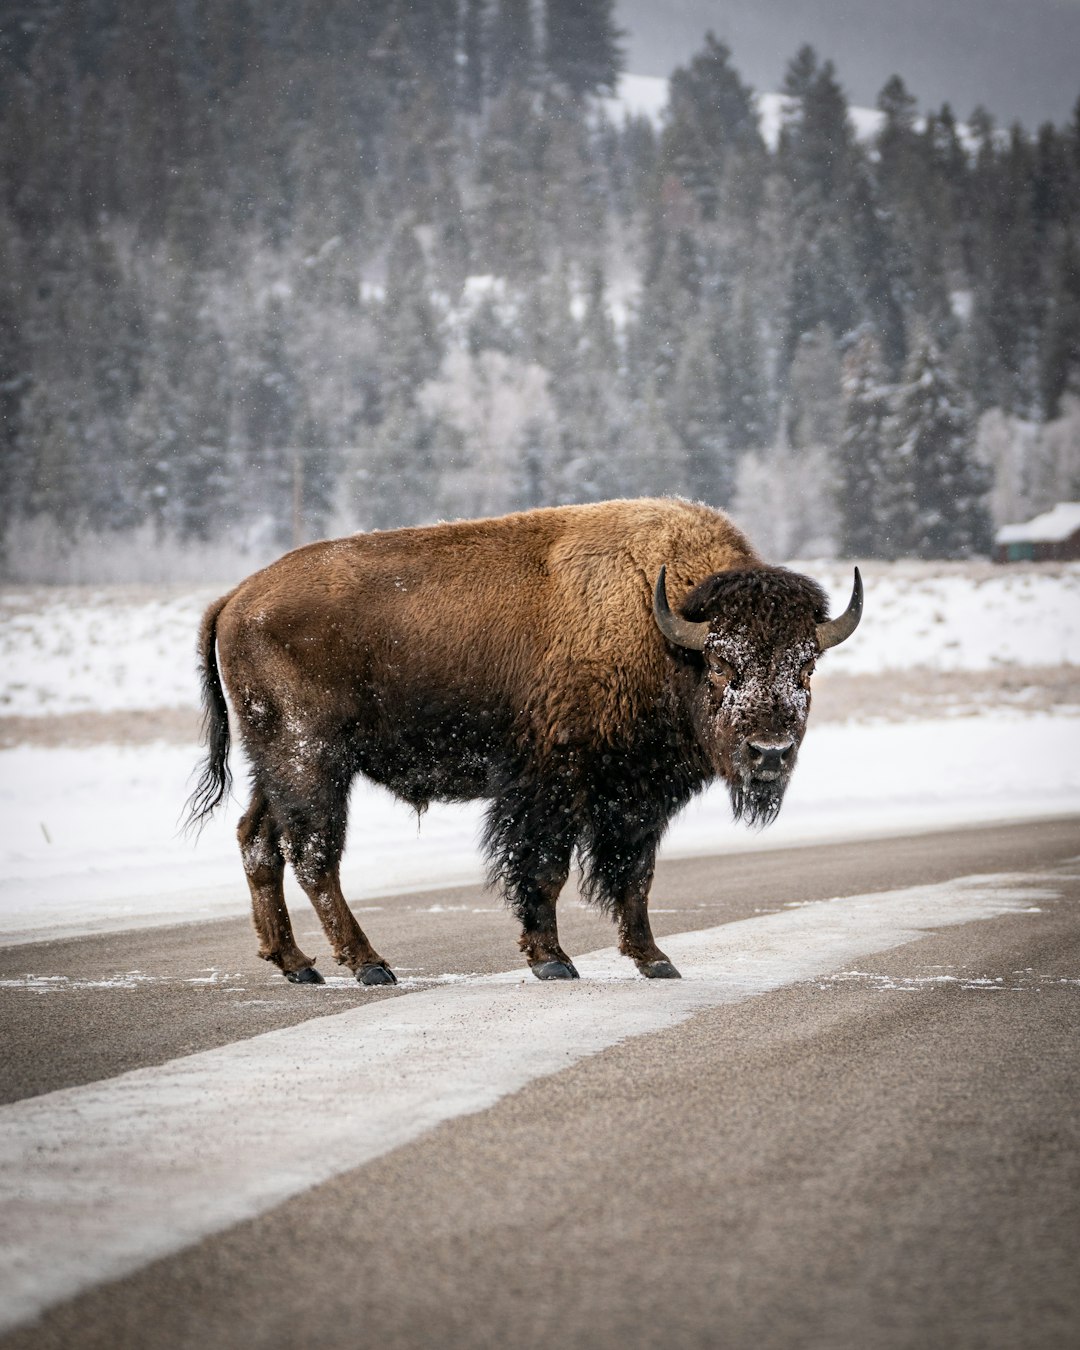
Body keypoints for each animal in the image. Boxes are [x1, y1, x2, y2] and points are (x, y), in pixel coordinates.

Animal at [187, 496, 858, 982]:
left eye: (806, 667)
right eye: (721, 664)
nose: (769, 754)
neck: (661, 624)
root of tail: (236, 598)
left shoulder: (635, 798)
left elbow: (635, 876)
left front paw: (655, 960)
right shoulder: (551, 785)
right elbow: (545, 869)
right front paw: (552, 961)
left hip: (278, 764)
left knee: (260, 843)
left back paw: (298, 965)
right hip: (313, 759)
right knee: (313, 855)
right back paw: (369, 966)